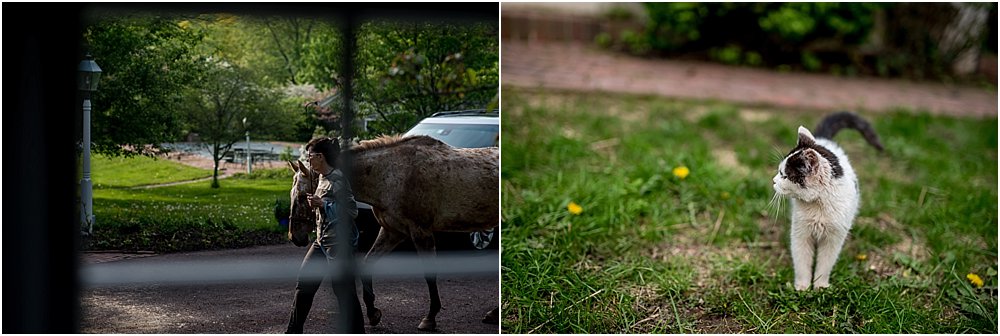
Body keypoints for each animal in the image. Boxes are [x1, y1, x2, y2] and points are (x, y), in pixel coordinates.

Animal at [286, 134, 496, 330]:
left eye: (302, 197)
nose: (294, 237)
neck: (393, 176)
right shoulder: (392, 231)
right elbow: (367, 264)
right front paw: (373, 313)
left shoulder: (421, 233)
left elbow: (430, 275)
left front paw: (430, 318)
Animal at [772, 111, 884, 290]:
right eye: (779, 173)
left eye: (784, 176)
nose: (774, 181)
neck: (820, 204)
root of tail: (824, 140)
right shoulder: (801, 233)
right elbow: (802, 261)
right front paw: (802, 287)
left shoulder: (834, 237)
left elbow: (825, 264)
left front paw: (820, 287)